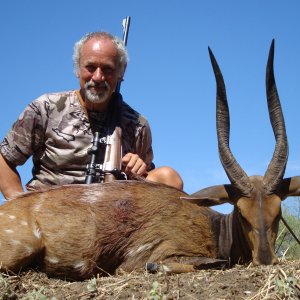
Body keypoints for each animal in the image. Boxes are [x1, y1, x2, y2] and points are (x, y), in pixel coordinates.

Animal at [0, 40, 298, 282]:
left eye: (277, 213)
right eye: (242, 213)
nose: (265, 260)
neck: (214, 227)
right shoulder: (148, 255)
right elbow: (206, 263)